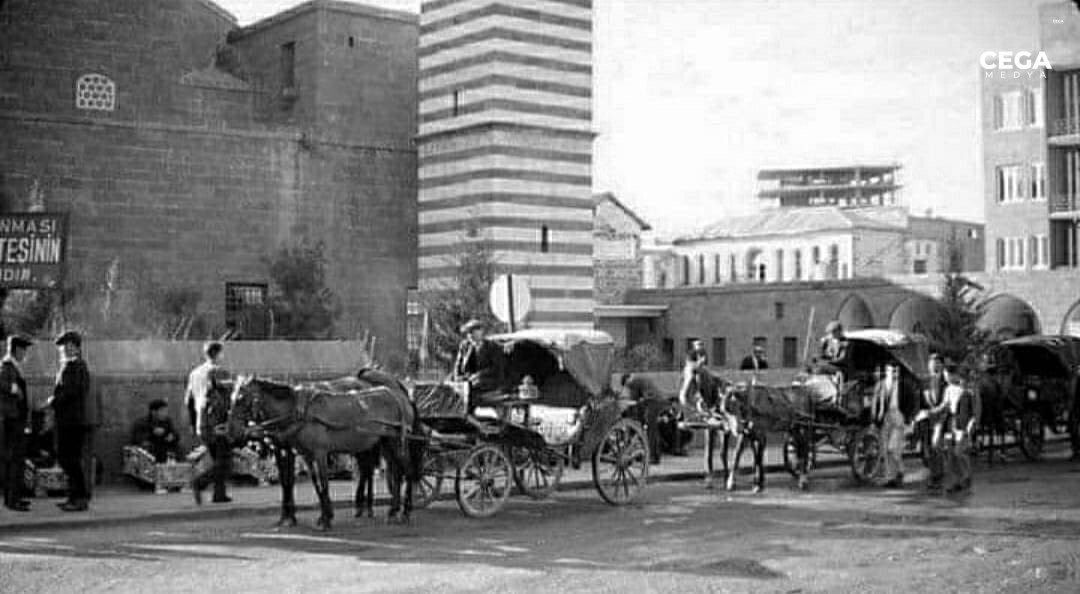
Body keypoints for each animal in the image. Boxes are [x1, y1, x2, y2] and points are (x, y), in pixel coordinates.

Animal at [230, 371, 423, 531]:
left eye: (241, 399)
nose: (231, 432)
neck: (299, 412)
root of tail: (398, 395)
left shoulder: (319, 453)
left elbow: (323, 483)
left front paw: (324, 519)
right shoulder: (305, 455)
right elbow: (314, 484)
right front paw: (320, 516)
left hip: (397, 440)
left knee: (407, 470)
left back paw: (404, 511)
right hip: (386, 442)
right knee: (395, 472)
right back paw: (391, 510)